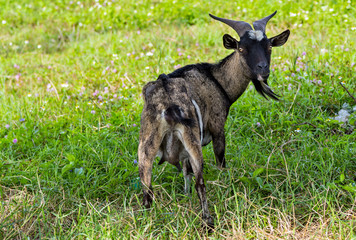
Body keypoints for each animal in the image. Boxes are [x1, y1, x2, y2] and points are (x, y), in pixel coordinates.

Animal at [137, 11, 290, 229]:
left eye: (269, 47)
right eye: (241, 48)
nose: (263, 70)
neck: (217, 80)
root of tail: (167, 100)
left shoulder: (182, 151)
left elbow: (186, 172)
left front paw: (186, 197)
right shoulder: (218, 127)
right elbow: (220, 161)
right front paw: (225, 185)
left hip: (147, 141)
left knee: (146, 186)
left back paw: (147, 220)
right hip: (192, 137)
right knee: (201, 181)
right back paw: (208, 222)